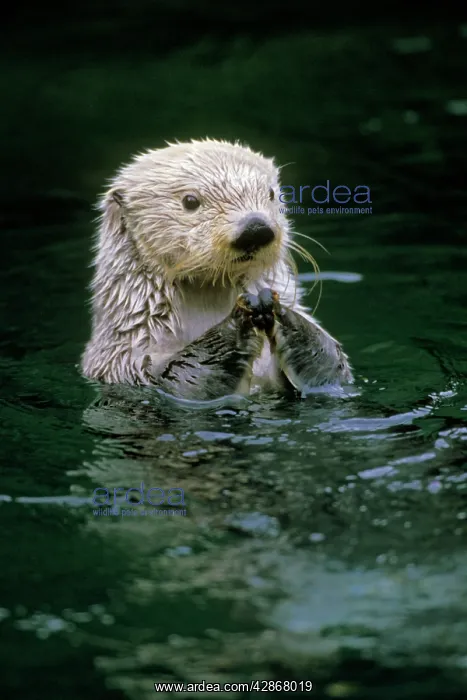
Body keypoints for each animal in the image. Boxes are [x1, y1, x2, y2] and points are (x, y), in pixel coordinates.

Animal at [81, 139, 353, 399]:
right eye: (190, 201)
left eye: (271, 193)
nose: (255, 228)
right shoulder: (126, 356)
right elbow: (179, 378)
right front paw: (237, 325)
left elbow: (333, 365)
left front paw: (280, 312)